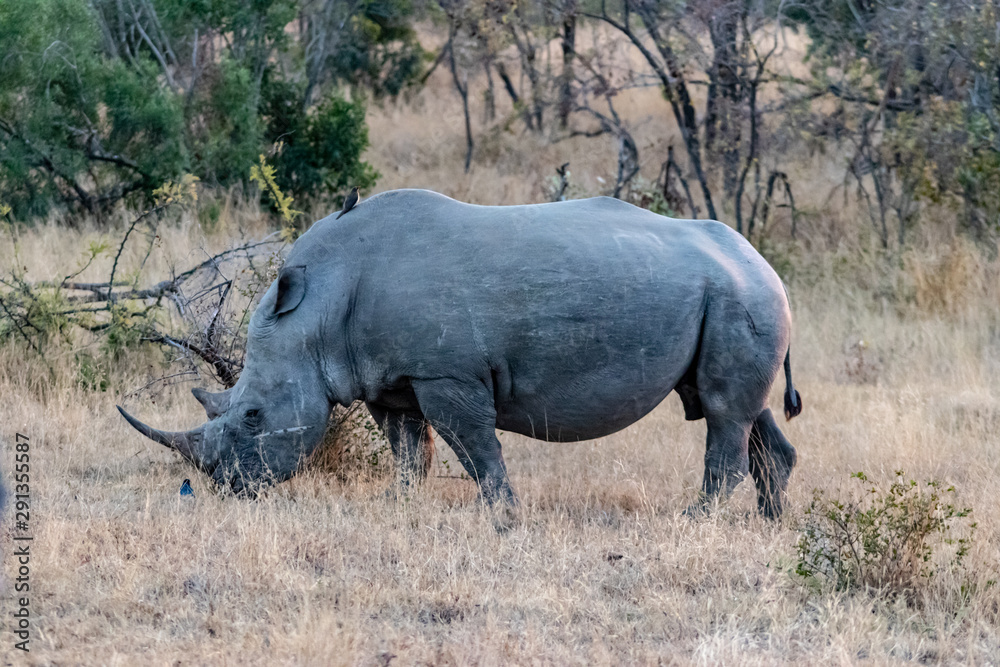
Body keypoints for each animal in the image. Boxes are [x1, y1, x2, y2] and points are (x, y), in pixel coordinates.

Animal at [118, 189, 802, 517]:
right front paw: (396, 506)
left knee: (721, 412)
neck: (316, 312)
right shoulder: (390, 379)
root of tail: (764, 261)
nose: (230, 487)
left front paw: (502, 515)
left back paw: (695, 519)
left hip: (739, 295)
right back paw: (769, 522)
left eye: (253, 416)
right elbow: (408, 449)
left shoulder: (445, 373)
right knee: (731, 406)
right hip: (731, 294)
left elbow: (473, 446)